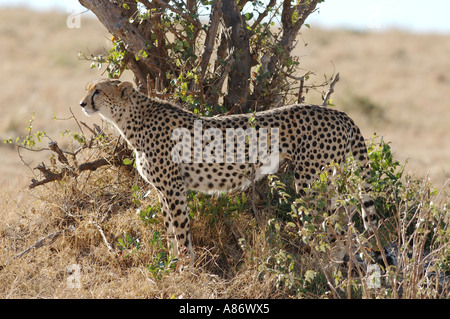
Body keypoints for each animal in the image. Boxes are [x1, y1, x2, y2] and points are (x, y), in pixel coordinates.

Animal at [80, 79, 376, 262]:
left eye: (98, 91)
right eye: (88, 89)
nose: (83, 104)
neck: (132, 119)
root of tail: (340, 114)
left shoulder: (174, 189)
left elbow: (180, 230)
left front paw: (185, 269)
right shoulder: (164, 191)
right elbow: (169, 232)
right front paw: (174, 265)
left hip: (309, 182)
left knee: (334, 229)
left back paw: (327, 269)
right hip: (328, 181)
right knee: (341, 223)